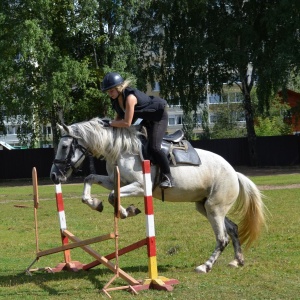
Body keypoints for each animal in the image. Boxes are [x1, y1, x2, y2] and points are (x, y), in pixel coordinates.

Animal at [50, 117, 266, 274]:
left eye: (64, 146)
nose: (54, 175)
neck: (121, 149)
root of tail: (234, 173)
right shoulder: (116, 181)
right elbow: (90, 179)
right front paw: (95, 203)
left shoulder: (139, 186)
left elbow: (113, 195)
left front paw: (127, 211)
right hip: (205, 206)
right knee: (233, 228)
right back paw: (237, 261)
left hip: (214, 208)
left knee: (222, 238)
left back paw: (205, 266)